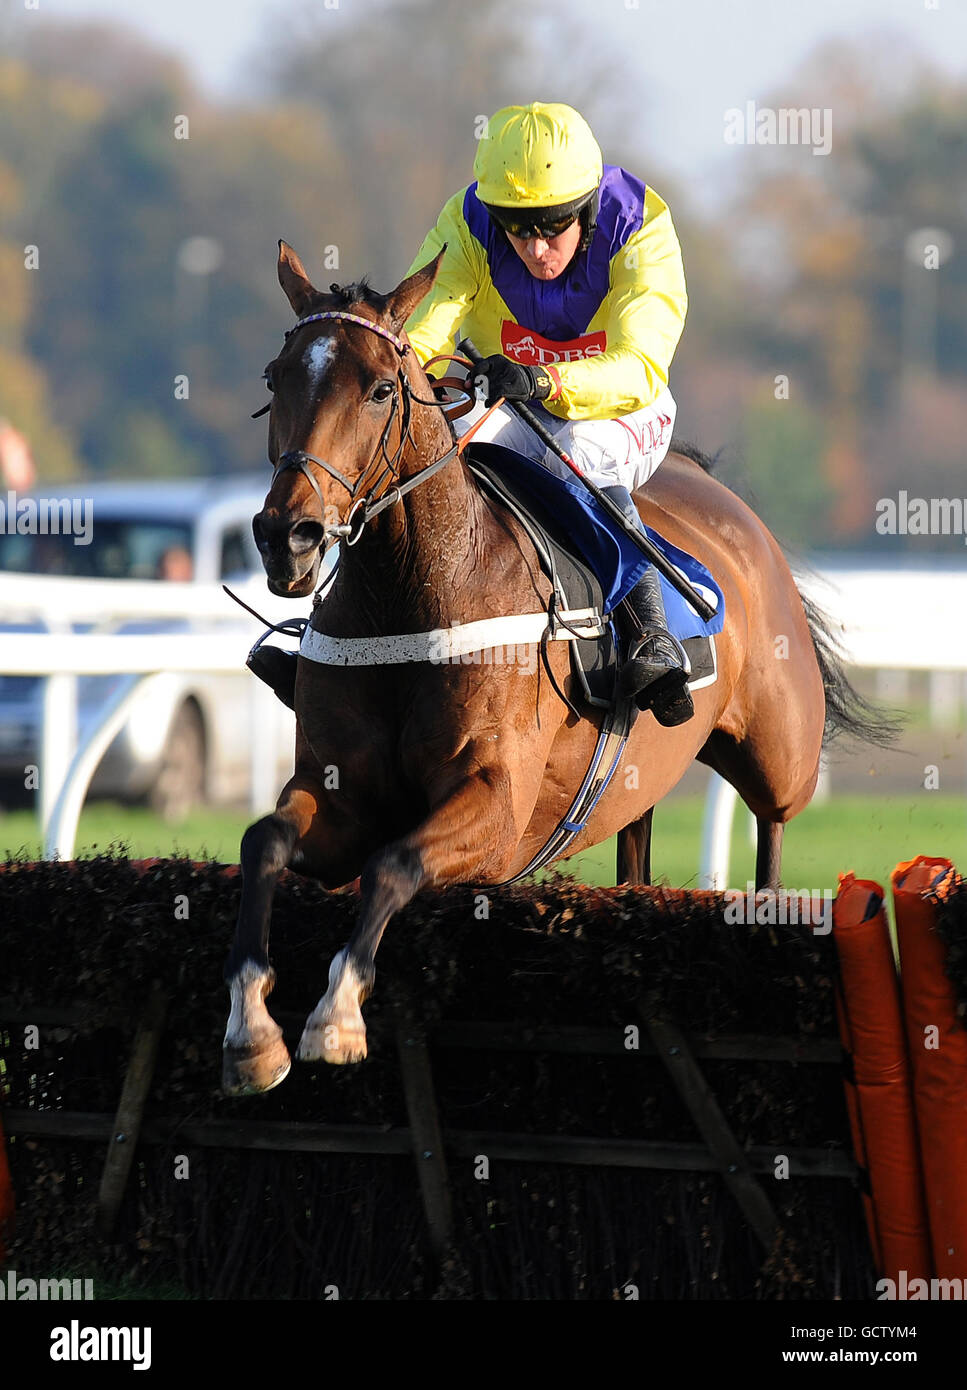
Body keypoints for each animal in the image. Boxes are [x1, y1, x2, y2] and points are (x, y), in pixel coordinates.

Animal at [222, 241, 878, 1095]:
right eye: (276, 377)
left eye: (378, 389)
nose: (287, 537)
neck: (413, 596)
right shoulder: (338, 794)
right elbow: (263, 843)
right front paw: (250, 1031)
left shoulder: (495, 811)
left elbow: (392, 865)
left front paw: (335, 1018)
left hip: (778, 750)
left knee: (772, 822)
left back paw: (766, 908)